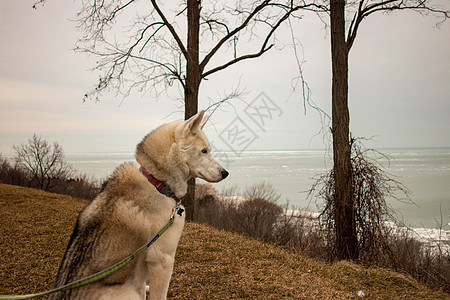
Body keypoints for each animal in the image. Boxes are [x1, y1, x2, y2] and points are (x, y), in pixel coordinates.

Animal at [50, 110, 229, 300]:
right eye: (204, 151)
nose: (225, 173)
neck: (157, 182)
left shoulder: (144, 268)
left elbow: (143, 287)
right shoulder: (162, 259)